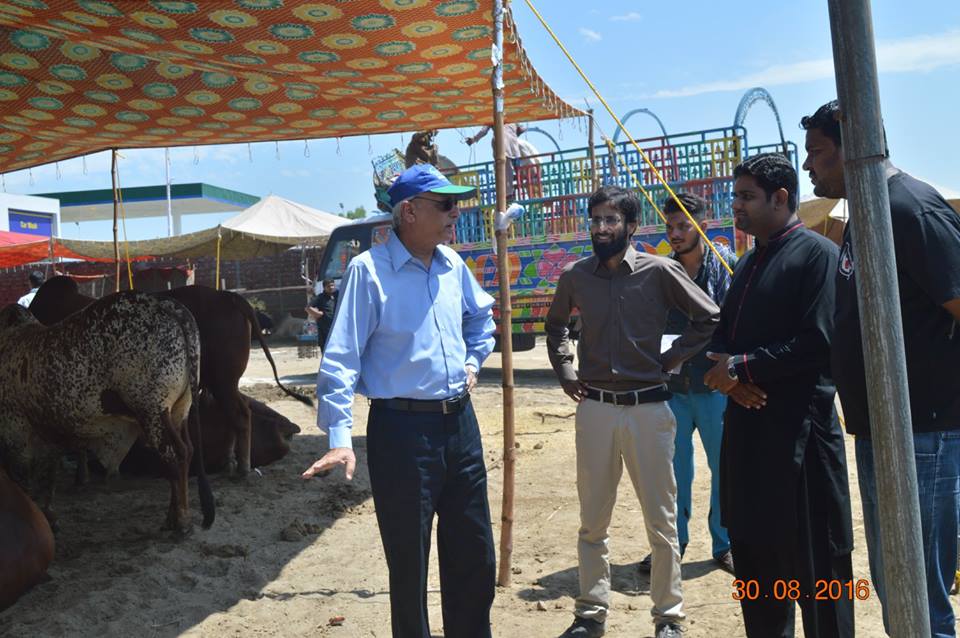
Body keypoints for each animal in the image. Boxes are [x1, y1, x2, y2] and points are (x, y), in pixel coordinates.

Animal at [29, 278, 312, 478]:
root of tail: (228, 297)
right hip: (219, 383)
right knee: (233, 414)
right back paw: (230, 462)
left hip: (223, 380)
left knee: (240, 415)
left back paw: (242, 468)